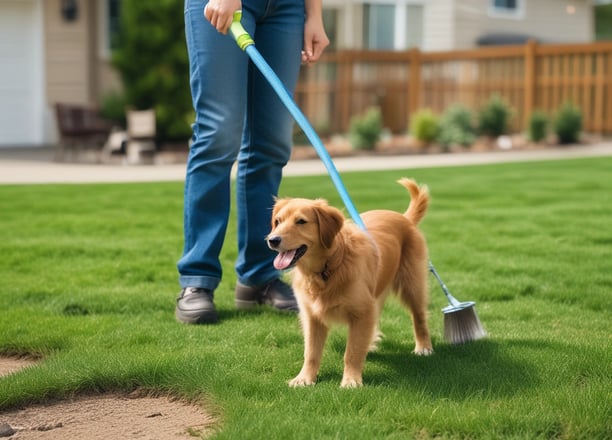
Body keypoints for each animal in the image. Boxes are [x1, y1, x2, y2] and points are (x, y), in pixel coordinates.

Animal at [268, 177, 436, 386]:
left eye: (301, 221)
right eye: (278, 221)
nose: (272, 240)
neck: (328, 267)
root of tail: (404, 218)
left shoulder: (361, 312)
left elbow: (352, 351)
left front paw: (351, 380)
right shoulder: (312, 316)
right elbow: (311, 352)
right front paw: (305, 378)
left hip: (412, 284)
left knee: (419, 317)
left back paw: (424, 347)